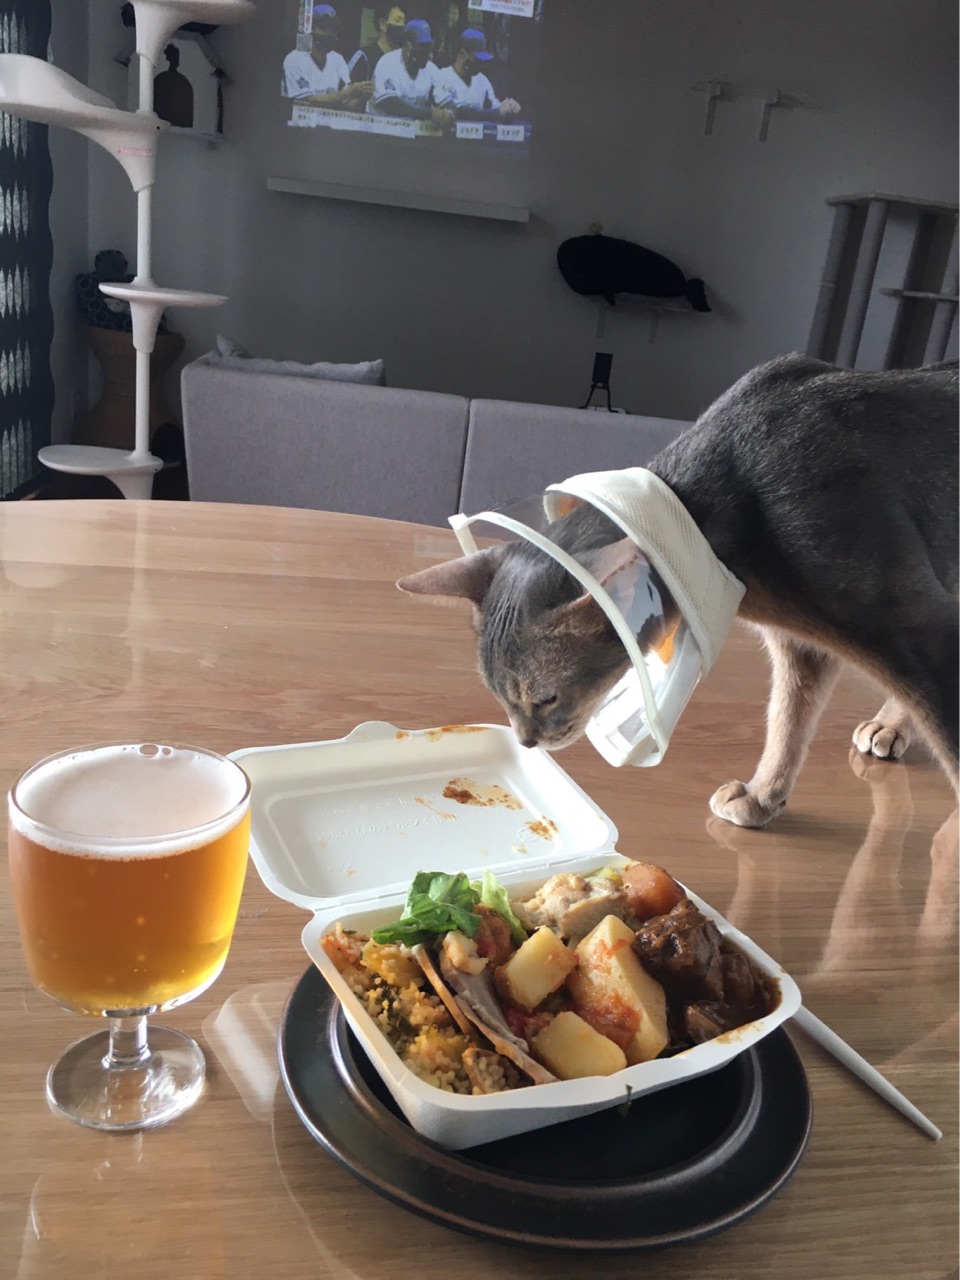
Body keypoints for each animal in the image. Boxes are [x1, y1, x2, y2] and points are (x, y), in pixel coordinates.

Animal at [397, 353, 959, 827]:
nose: (526, 742)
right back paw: (891, 725)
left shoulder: (925, 626)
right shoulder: (801, 647)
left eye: (546, 698)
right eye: (498, 698)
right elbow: (786, 722)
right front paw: (763, 795)